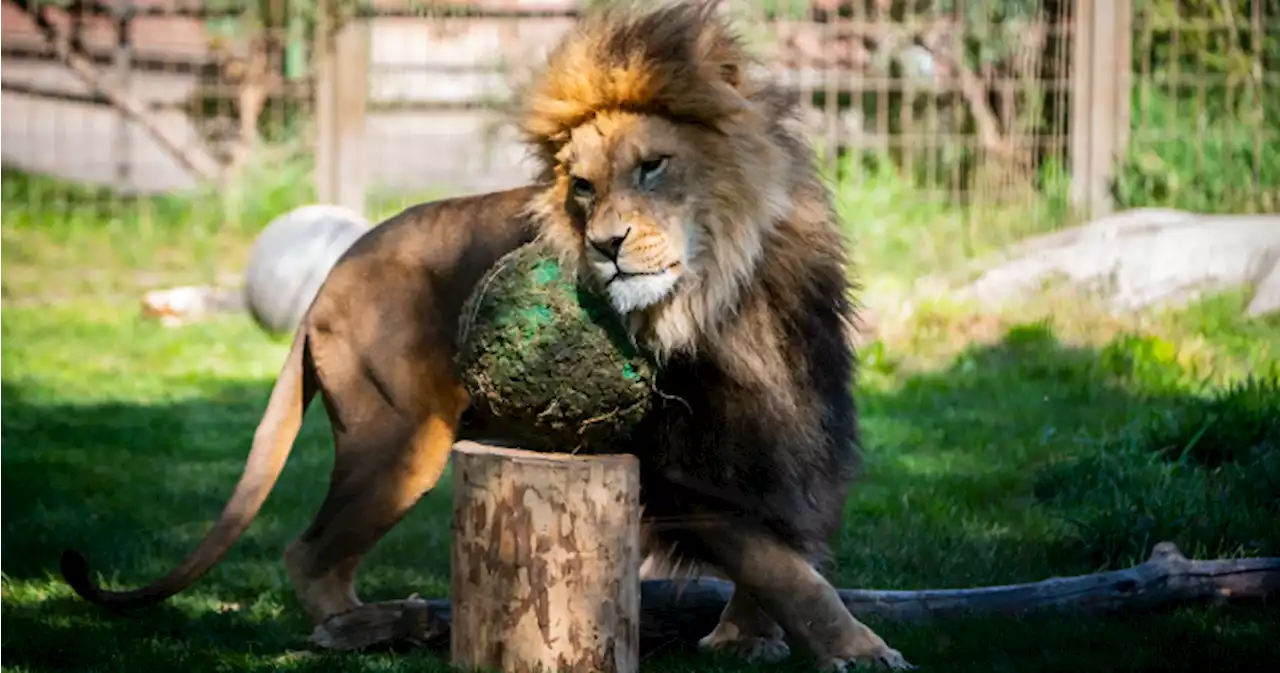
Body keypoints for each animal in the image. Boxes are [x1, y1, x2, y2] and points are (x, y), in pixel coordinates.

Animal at [57, 2, 911, 670]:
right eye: (583, 187)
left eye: (653, 167)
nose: (605, 244)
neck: (725, 298)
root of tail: (330, 274)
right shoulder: (679, 468)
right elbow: (782, 565)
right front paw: (859, 648)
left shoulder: (793, 419)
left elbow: (787, 544)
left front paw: (745, 637)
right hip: (396, 440)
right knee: (309, 554)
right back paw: (365, 627)